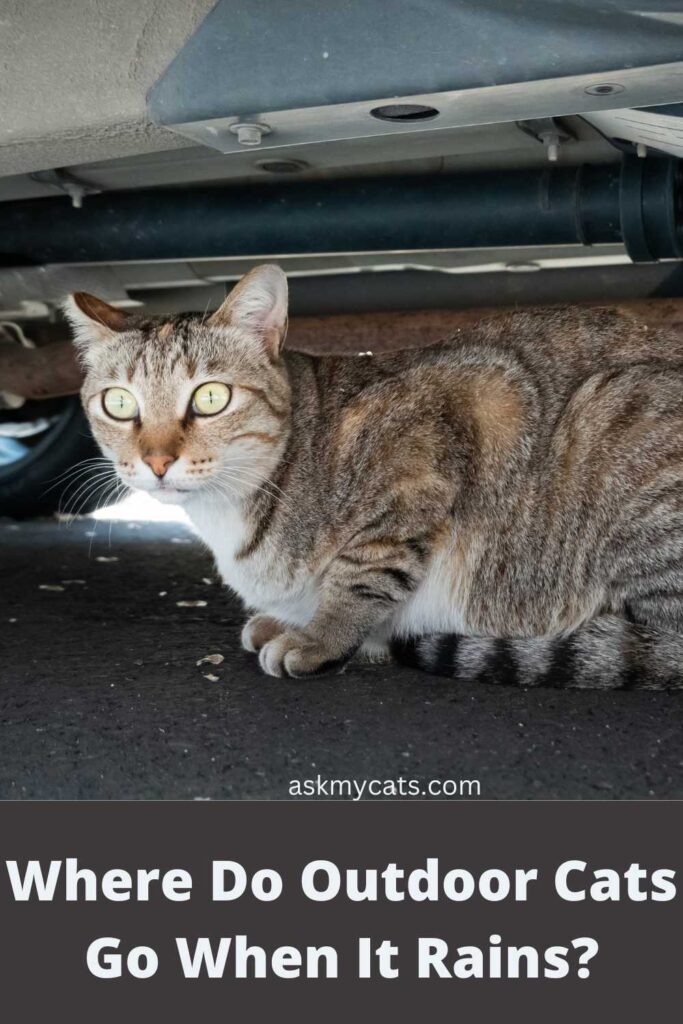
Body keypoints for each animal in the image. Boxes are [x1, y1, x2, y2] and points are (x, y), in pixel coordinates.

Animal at [65, 264, 683, 688]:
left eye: (211, 397)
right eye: (119, 403)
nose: (157, 460)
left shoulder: (435, 433)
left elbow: (362, 573)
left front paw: (322, 636)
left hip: (613, 419)